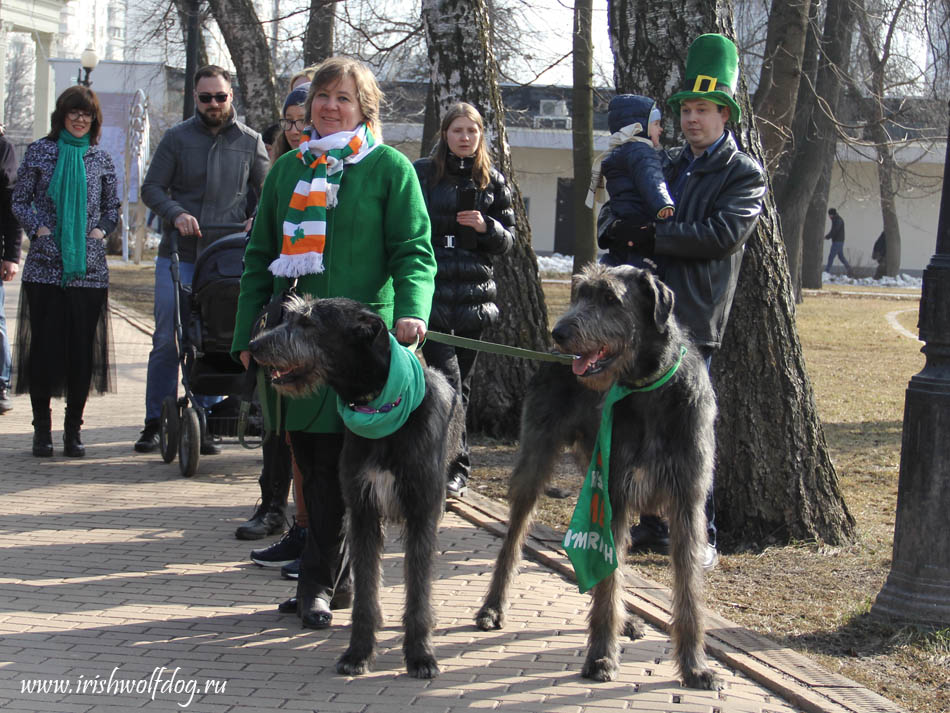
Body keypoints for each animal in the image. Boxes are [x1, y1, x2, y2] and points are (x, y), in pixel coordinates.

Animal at [249, 296, 464, 680]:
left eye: (308, 323)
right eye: (290, 316)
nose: (255, 345)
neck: (379, 404)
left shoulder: (421, 512)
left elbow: (419, 590)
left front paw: (421, 655)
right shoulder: (363, 510)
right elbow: (366, 589)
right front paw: (358, 652)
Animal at [476, 262, 720, 688]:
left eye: (610, 298)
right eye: (580, 294)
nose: (560, 333)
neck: (649, 389)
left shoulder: (687, 503)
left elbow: (687, 589)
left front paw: (695, 665)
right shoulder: (615, 494)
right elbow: (608, 584)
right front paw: (602, 656)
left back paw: (628, 622)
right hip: (536, 462)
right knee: (513, 539)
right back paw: (493, 607)